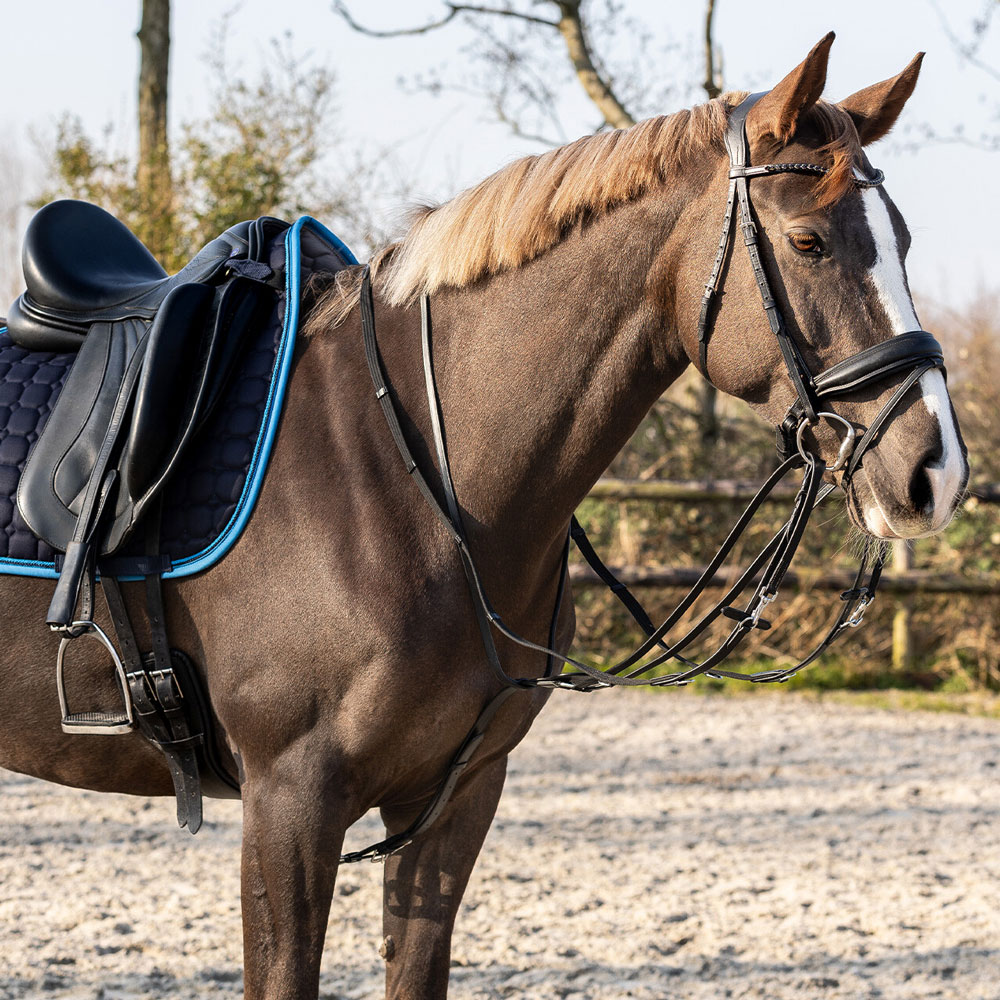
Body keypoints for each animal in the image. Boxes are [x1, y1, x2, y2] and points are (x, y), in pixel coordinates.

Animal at [0, 33, 969, 1000]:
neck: (412, 473)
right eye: (808, 241)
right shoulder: (290, 801)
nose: (937, 472)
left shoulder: (455, 799)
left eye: (904, 241)